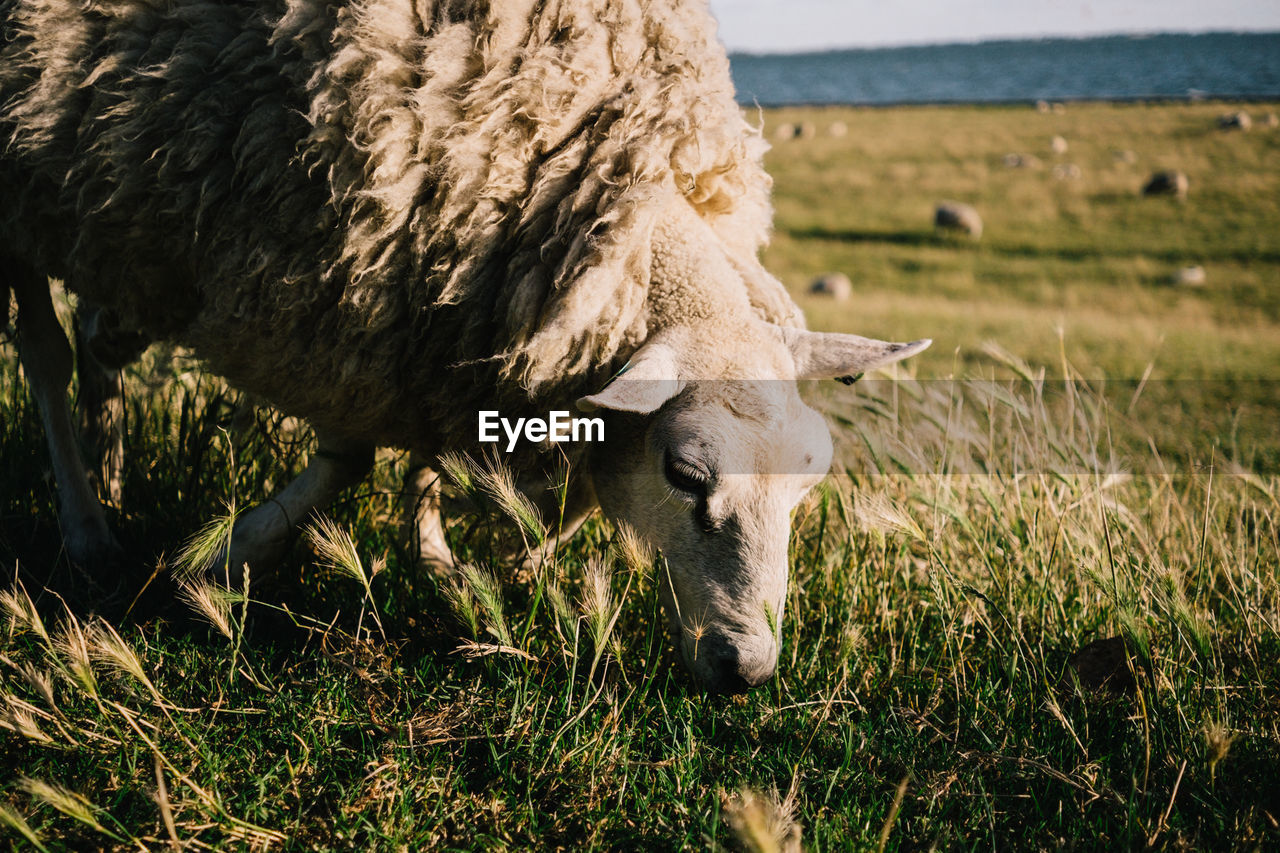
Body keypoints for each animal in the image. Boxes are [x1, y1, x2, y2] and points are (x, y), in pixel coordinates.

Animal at [5, 0, 936, 691]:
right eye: (684, 472)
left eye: (807, 484)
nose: (748, 667)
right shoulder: (339, 281)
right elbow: (350, 455)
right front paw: (216, 561)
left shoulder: (422, 315)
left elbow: (424, 458)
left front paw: (446, 561)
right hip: (30, 173)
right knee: (47, 352)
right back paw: (88, 529)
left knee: (100, 338)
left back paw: (111, 468)